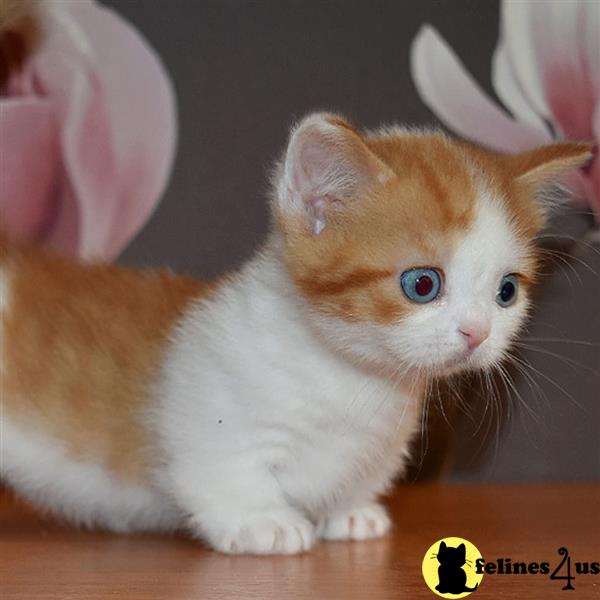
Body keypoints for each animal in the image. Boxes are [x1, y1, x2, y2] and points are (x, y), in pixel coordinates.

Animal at [0, 112, 592, 552]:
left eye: (507, 291)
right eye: (422, 283)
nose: (477, 333)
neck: (350, 378)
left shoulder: (378, 445)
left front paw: (350, 512)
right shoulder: (206, 414)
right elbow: (224, 468)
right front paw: (262, 521)